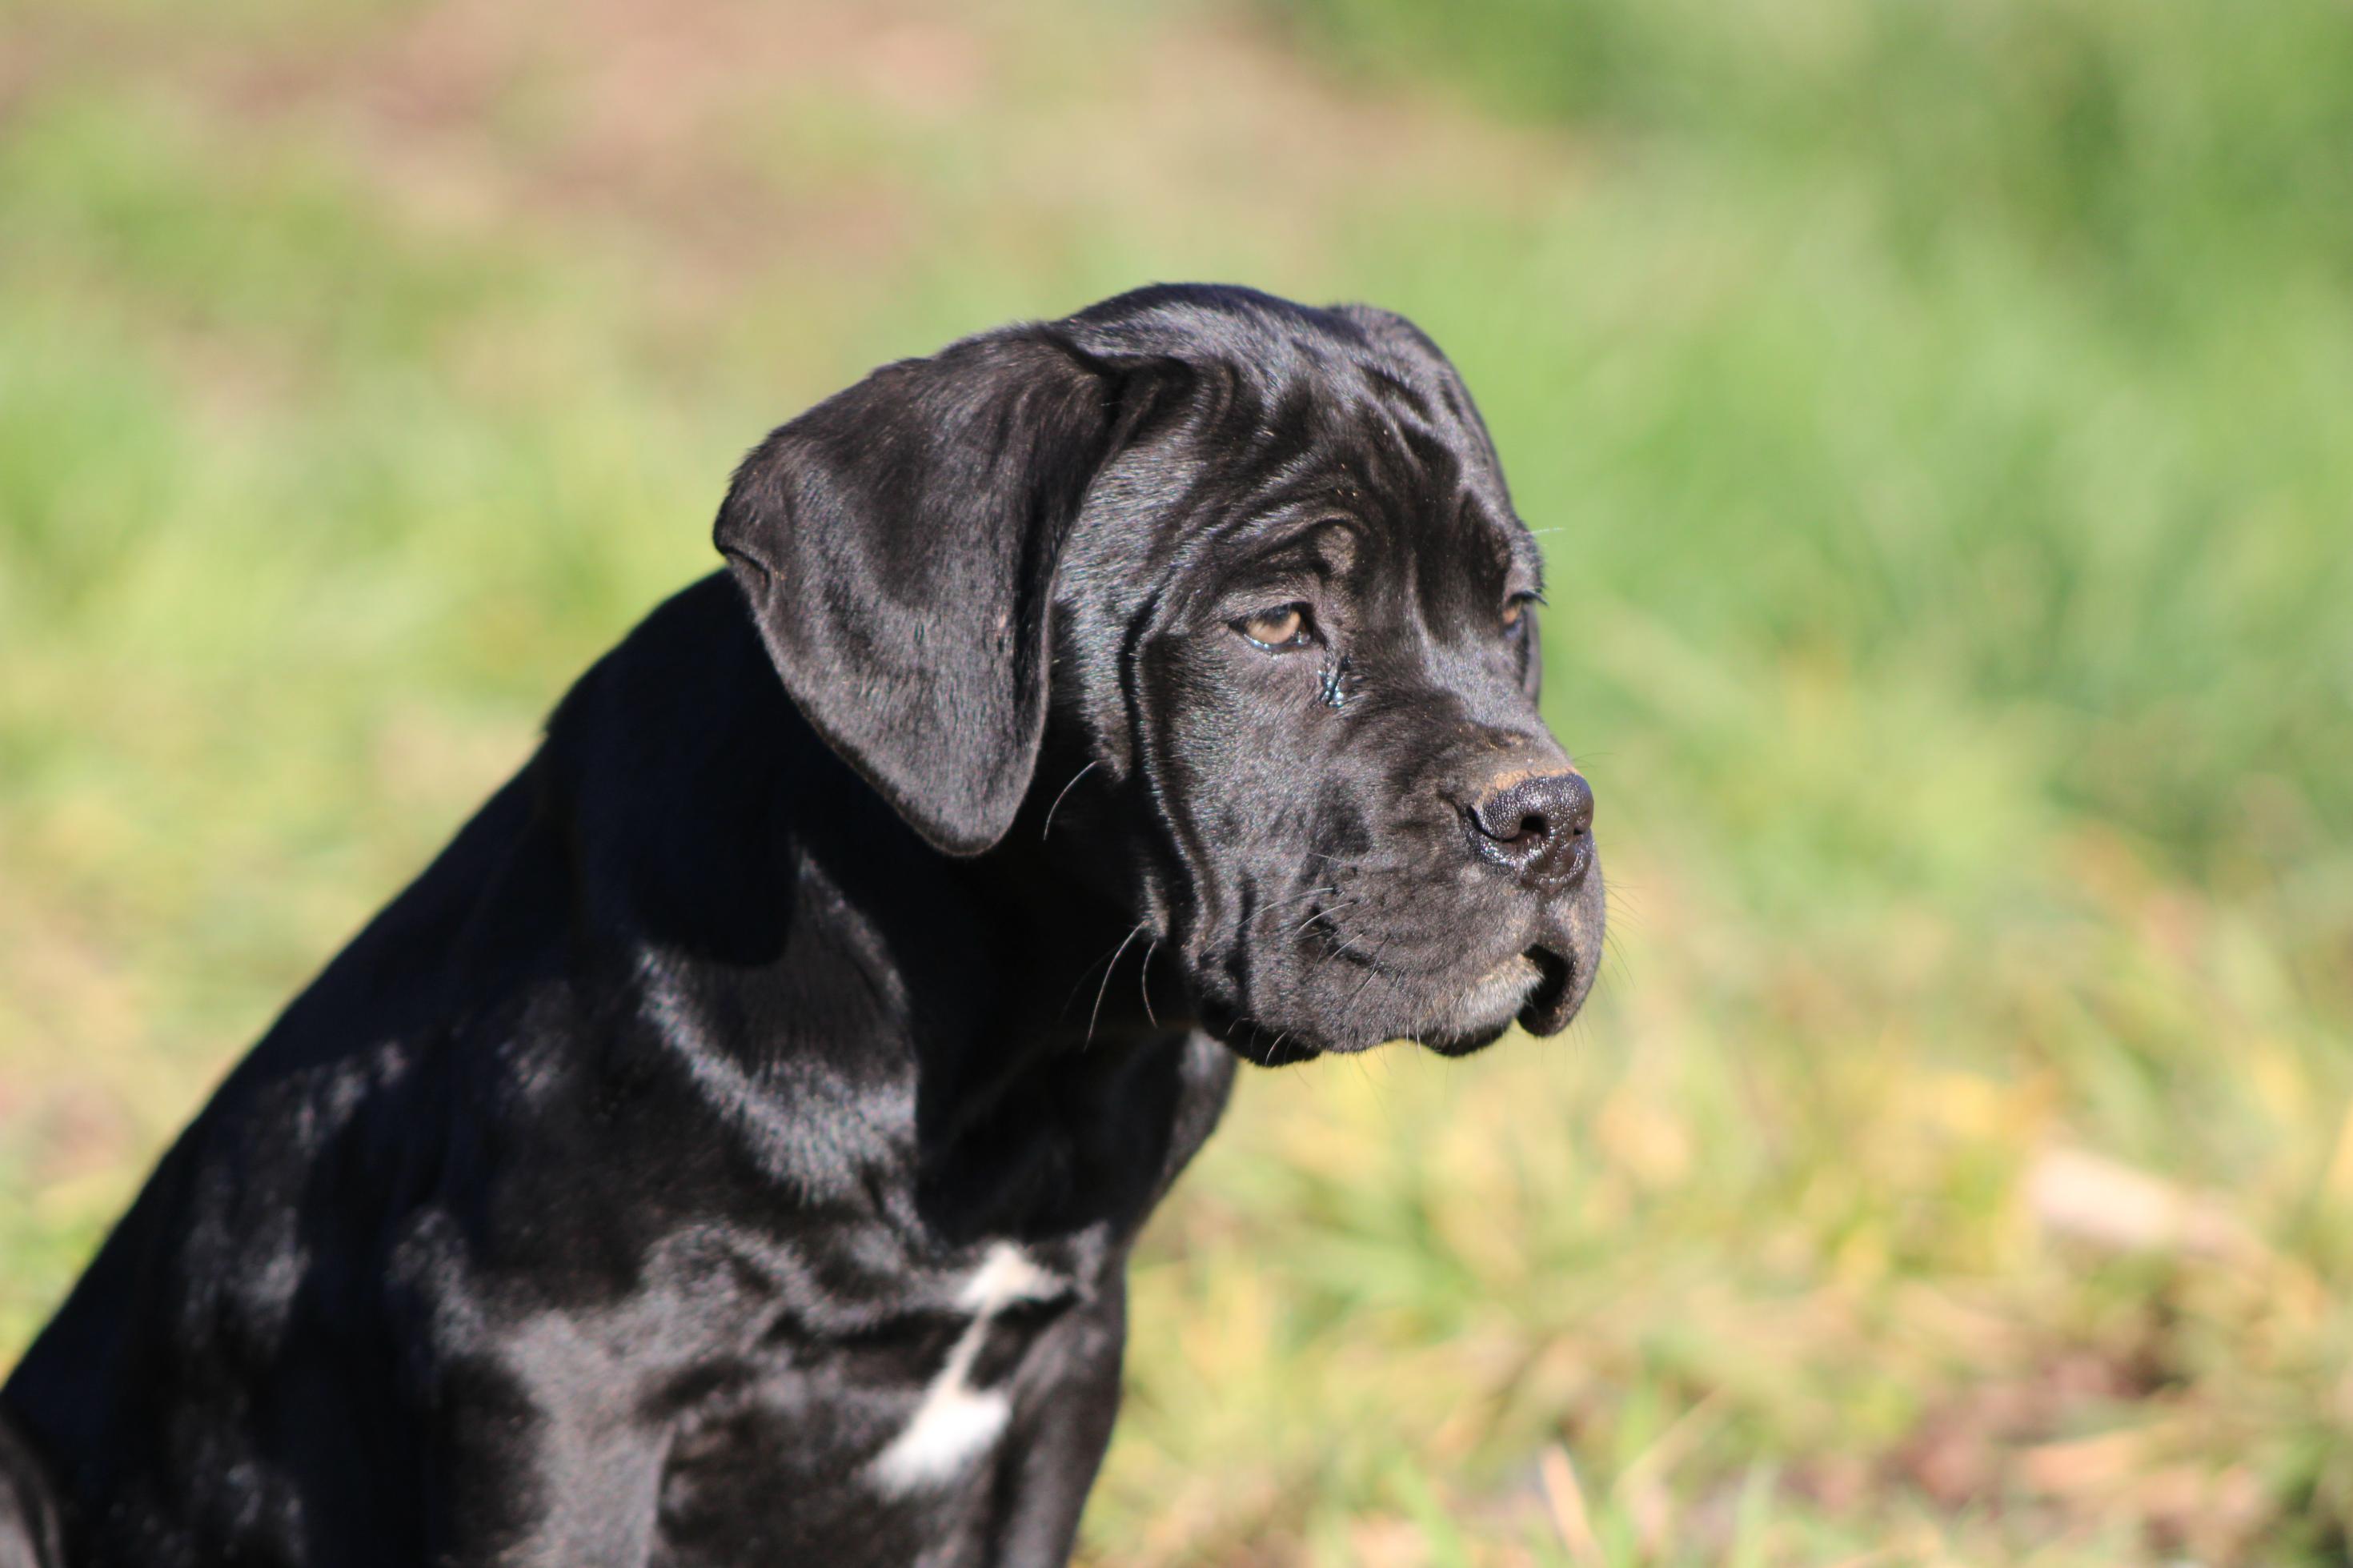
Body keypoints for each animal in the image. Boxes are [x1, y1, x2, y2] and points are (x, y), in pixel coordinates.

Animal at [0, 283, 1600, 1563]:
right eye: (1277, 624)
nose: (1551, 814)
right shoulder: (557, 1374)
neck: (1015, 1040)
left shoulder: (1068, 1364)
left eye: (1513, 609)